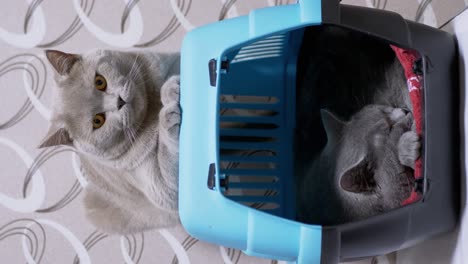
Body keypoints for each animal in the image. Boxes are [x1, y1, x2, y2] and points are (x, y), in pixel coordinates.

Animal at [38, 49, 181, 233]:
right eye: (98, 121)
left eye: (99, 82)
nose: (119, 101)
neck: (152, 110)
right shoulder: (162, 189)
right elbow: (167, 153)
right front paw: (170, 100)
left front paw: (171, 89)